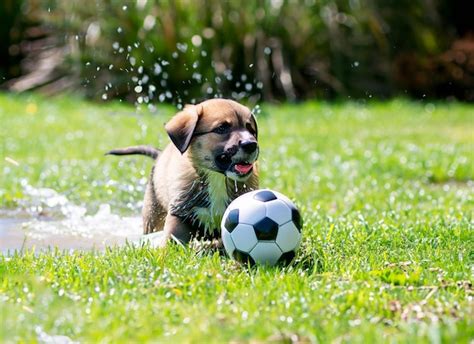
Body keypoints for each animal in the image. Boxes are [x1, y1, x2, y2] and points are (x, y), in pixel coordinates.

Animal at [107, 98, 260, 246]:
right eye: (221, 128)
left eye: (251, 129)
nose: (251, 145)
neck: (217, 178)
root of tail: (160, 155)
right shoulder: (179, 214)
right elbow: (170, 245)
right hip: (153, 216)